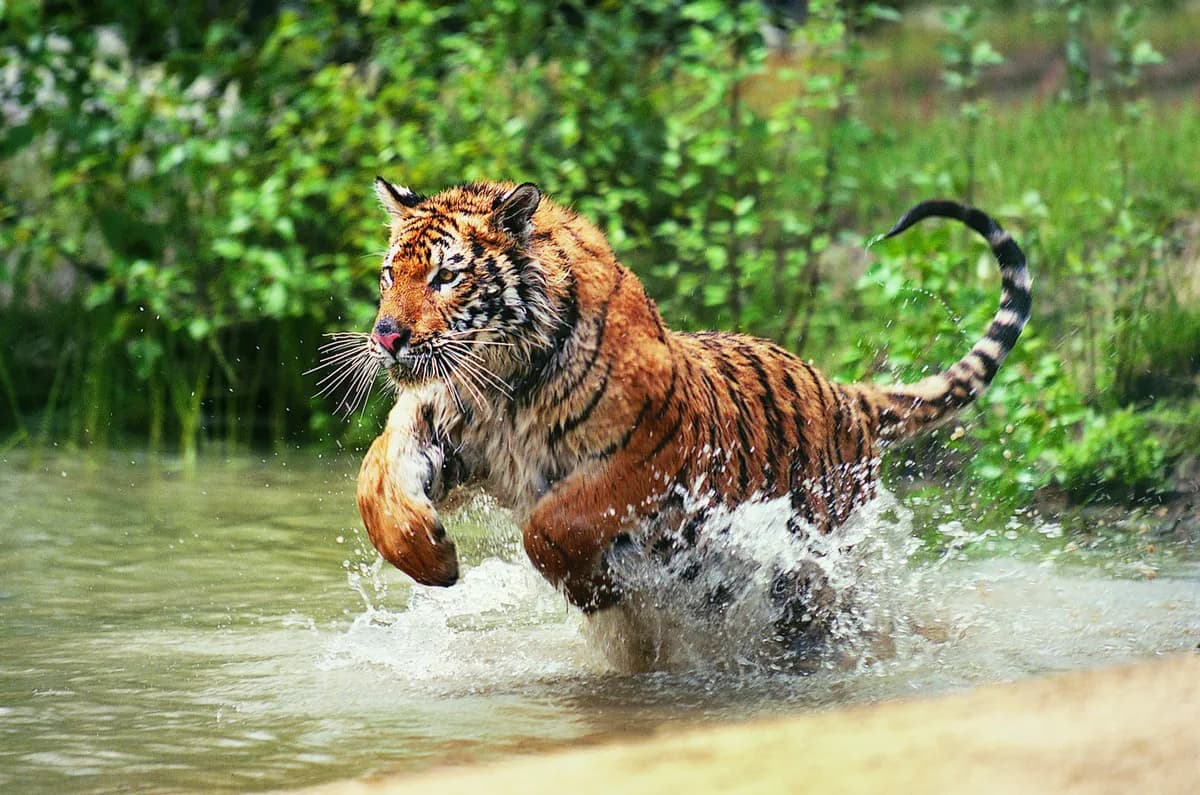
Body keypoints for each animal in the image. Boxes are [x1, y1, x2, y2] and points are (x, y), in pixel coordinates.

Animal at [329, 178, 1030, 647]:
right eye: (390, 274)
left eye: (446, 277)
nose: (385, 337)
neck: (503, 385)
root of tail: (844, 394)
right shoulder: (435, 424)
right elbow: (374, 486)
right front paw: (434, 560)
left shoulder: (648, 455)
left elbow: (553, 524)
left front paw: (593, 590)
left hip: (816, 569)